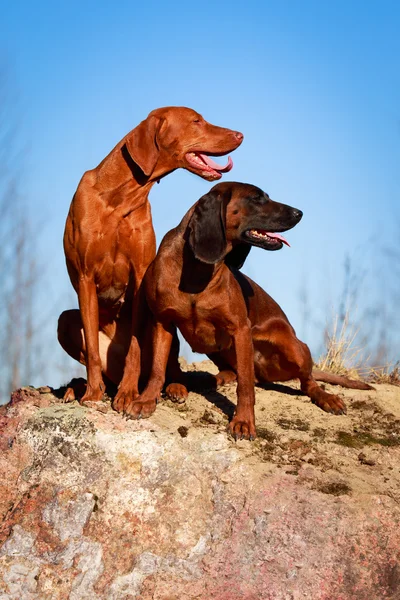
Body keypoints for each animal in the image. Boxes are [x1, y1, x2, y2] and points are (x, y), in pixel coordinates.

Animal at [57, 106, 242, 404]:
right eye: (196, 121)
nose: (240, 134)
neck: (118, 199)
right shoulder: (85, 277)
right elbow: (93, 350)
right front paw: (93, 392)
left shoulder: (141, 276)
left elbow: (136, 346)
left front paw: (128, 393)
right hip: (65, 321)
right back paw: (80, 387)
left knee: (170, 366)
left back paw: (173, 387)